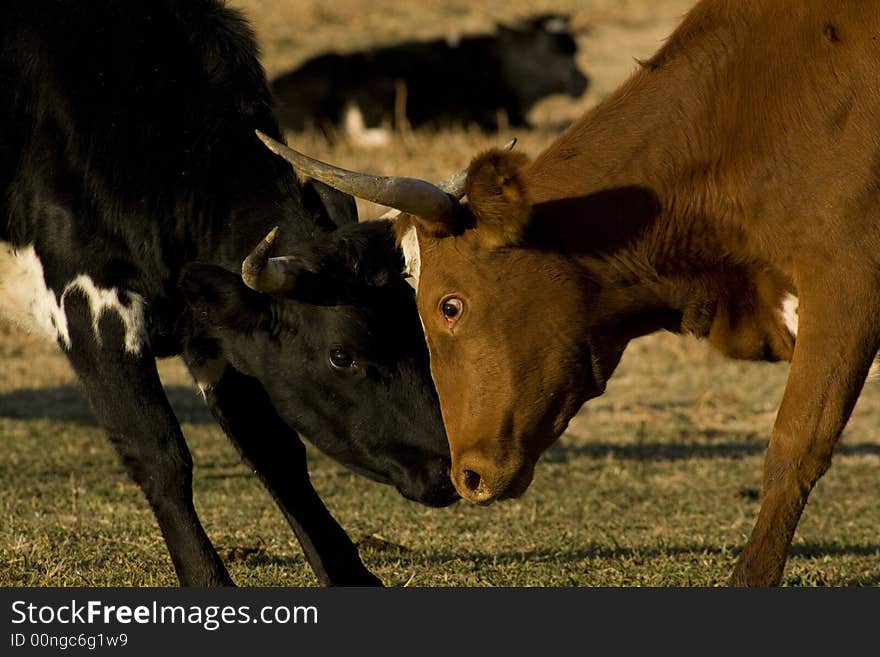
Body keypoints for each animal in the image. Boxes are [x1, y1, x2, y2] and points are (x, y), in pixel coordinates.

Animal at [0, 0, 454, 584]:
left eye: (418, 332)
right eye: (341, 355)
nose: (450, 470)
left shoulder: (216, 332)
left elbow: (275, 450)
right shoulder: (90, 305)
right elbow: (160, 453)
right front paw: (207, 577)